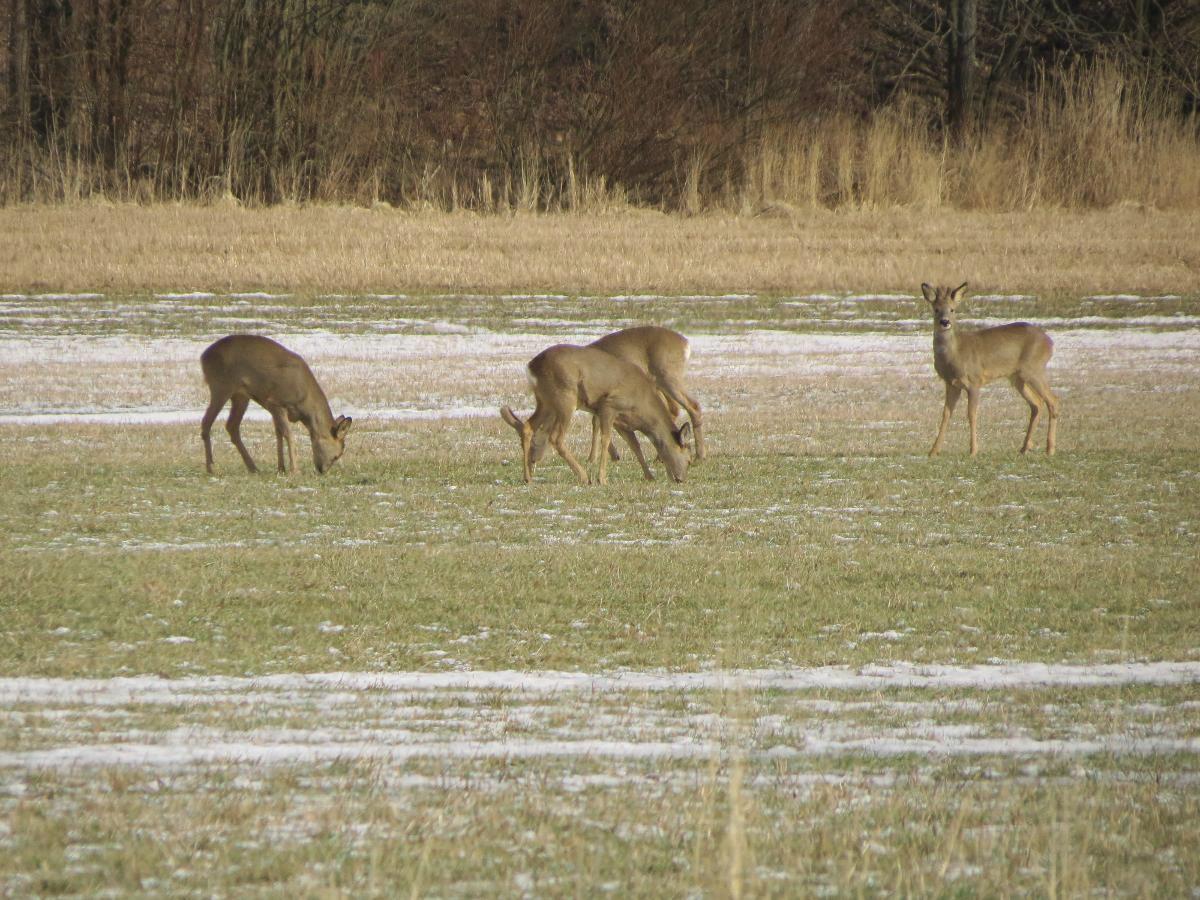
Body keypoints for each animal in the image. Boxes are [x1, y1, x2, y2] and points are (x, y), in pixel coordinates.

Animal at [199, 336, 350, 480]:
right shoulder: (276, 402)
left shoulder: (273, 408)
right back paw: (211, 468)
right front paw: (295, 470)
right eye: (337, 455)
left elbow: (278, 434)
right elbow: (288, 434)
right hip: (221, 386)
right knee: (207, 422)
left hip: (241, 395)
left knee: (231, 426)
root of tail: (203, 357)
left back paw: (253, 468)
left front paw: (281, 468)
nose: (322, 471)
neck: (305, 404)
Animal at [499, 343, 696, 487]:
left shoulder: (623, 422)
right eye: (688, 460)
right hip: (565, 397)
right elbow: (606, 440)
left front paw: (649, 476)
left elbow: (635, 445)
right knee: (556, 437)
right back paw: (584, 477)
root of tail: (531, 366)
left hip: (545, 401)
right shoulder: (609, 406)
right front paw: (602, 478)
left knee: (527, 426)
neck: (643, 406)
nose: (680, 479)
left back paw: (528, 477)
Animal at [588, 326, 705, 468]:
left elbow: (596, 422)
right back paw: (660, 458)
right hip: (660, 384)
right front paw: (612, 456)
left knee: (693, 406)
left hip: (668, 377)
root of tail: (685, 343)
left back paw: (700, 456)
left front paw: (592, 459)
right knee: (673, 410)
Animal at [916, 282, 1060, 458]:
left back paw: (1050, 449)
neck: (955, 354)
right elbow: (946, 415)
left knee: (1053, 400)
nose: (945, 322)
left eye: (952, 309)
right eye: (936, 309)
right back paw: (1025, 448)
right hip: (1017, 377)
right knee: (1037, 404)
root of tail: (1050, 342)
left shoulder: (974, 381)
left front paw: (973, 450)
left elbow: (972, 414)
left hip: (1034, 369)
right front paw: (933, 451)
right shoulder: (951, 384)